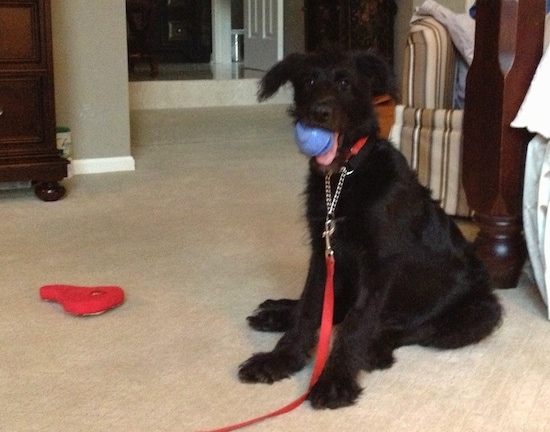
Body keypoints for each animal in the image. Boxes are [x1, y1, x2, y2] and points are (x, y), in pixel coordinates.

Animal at [239, 50, 502, 408]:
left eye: (345, 83)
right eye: (308, 80)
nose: (318, 113)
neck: (345, 177)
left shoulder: (379, 266)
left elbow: (356, 324)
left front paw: (334, 380)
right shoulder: (324, 253)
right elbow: (310, 308)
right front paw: (280, 359)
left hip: (481, 312)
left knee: (407, 329)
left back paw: (377, 349)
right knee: (335, 309)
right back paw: (276, 313)